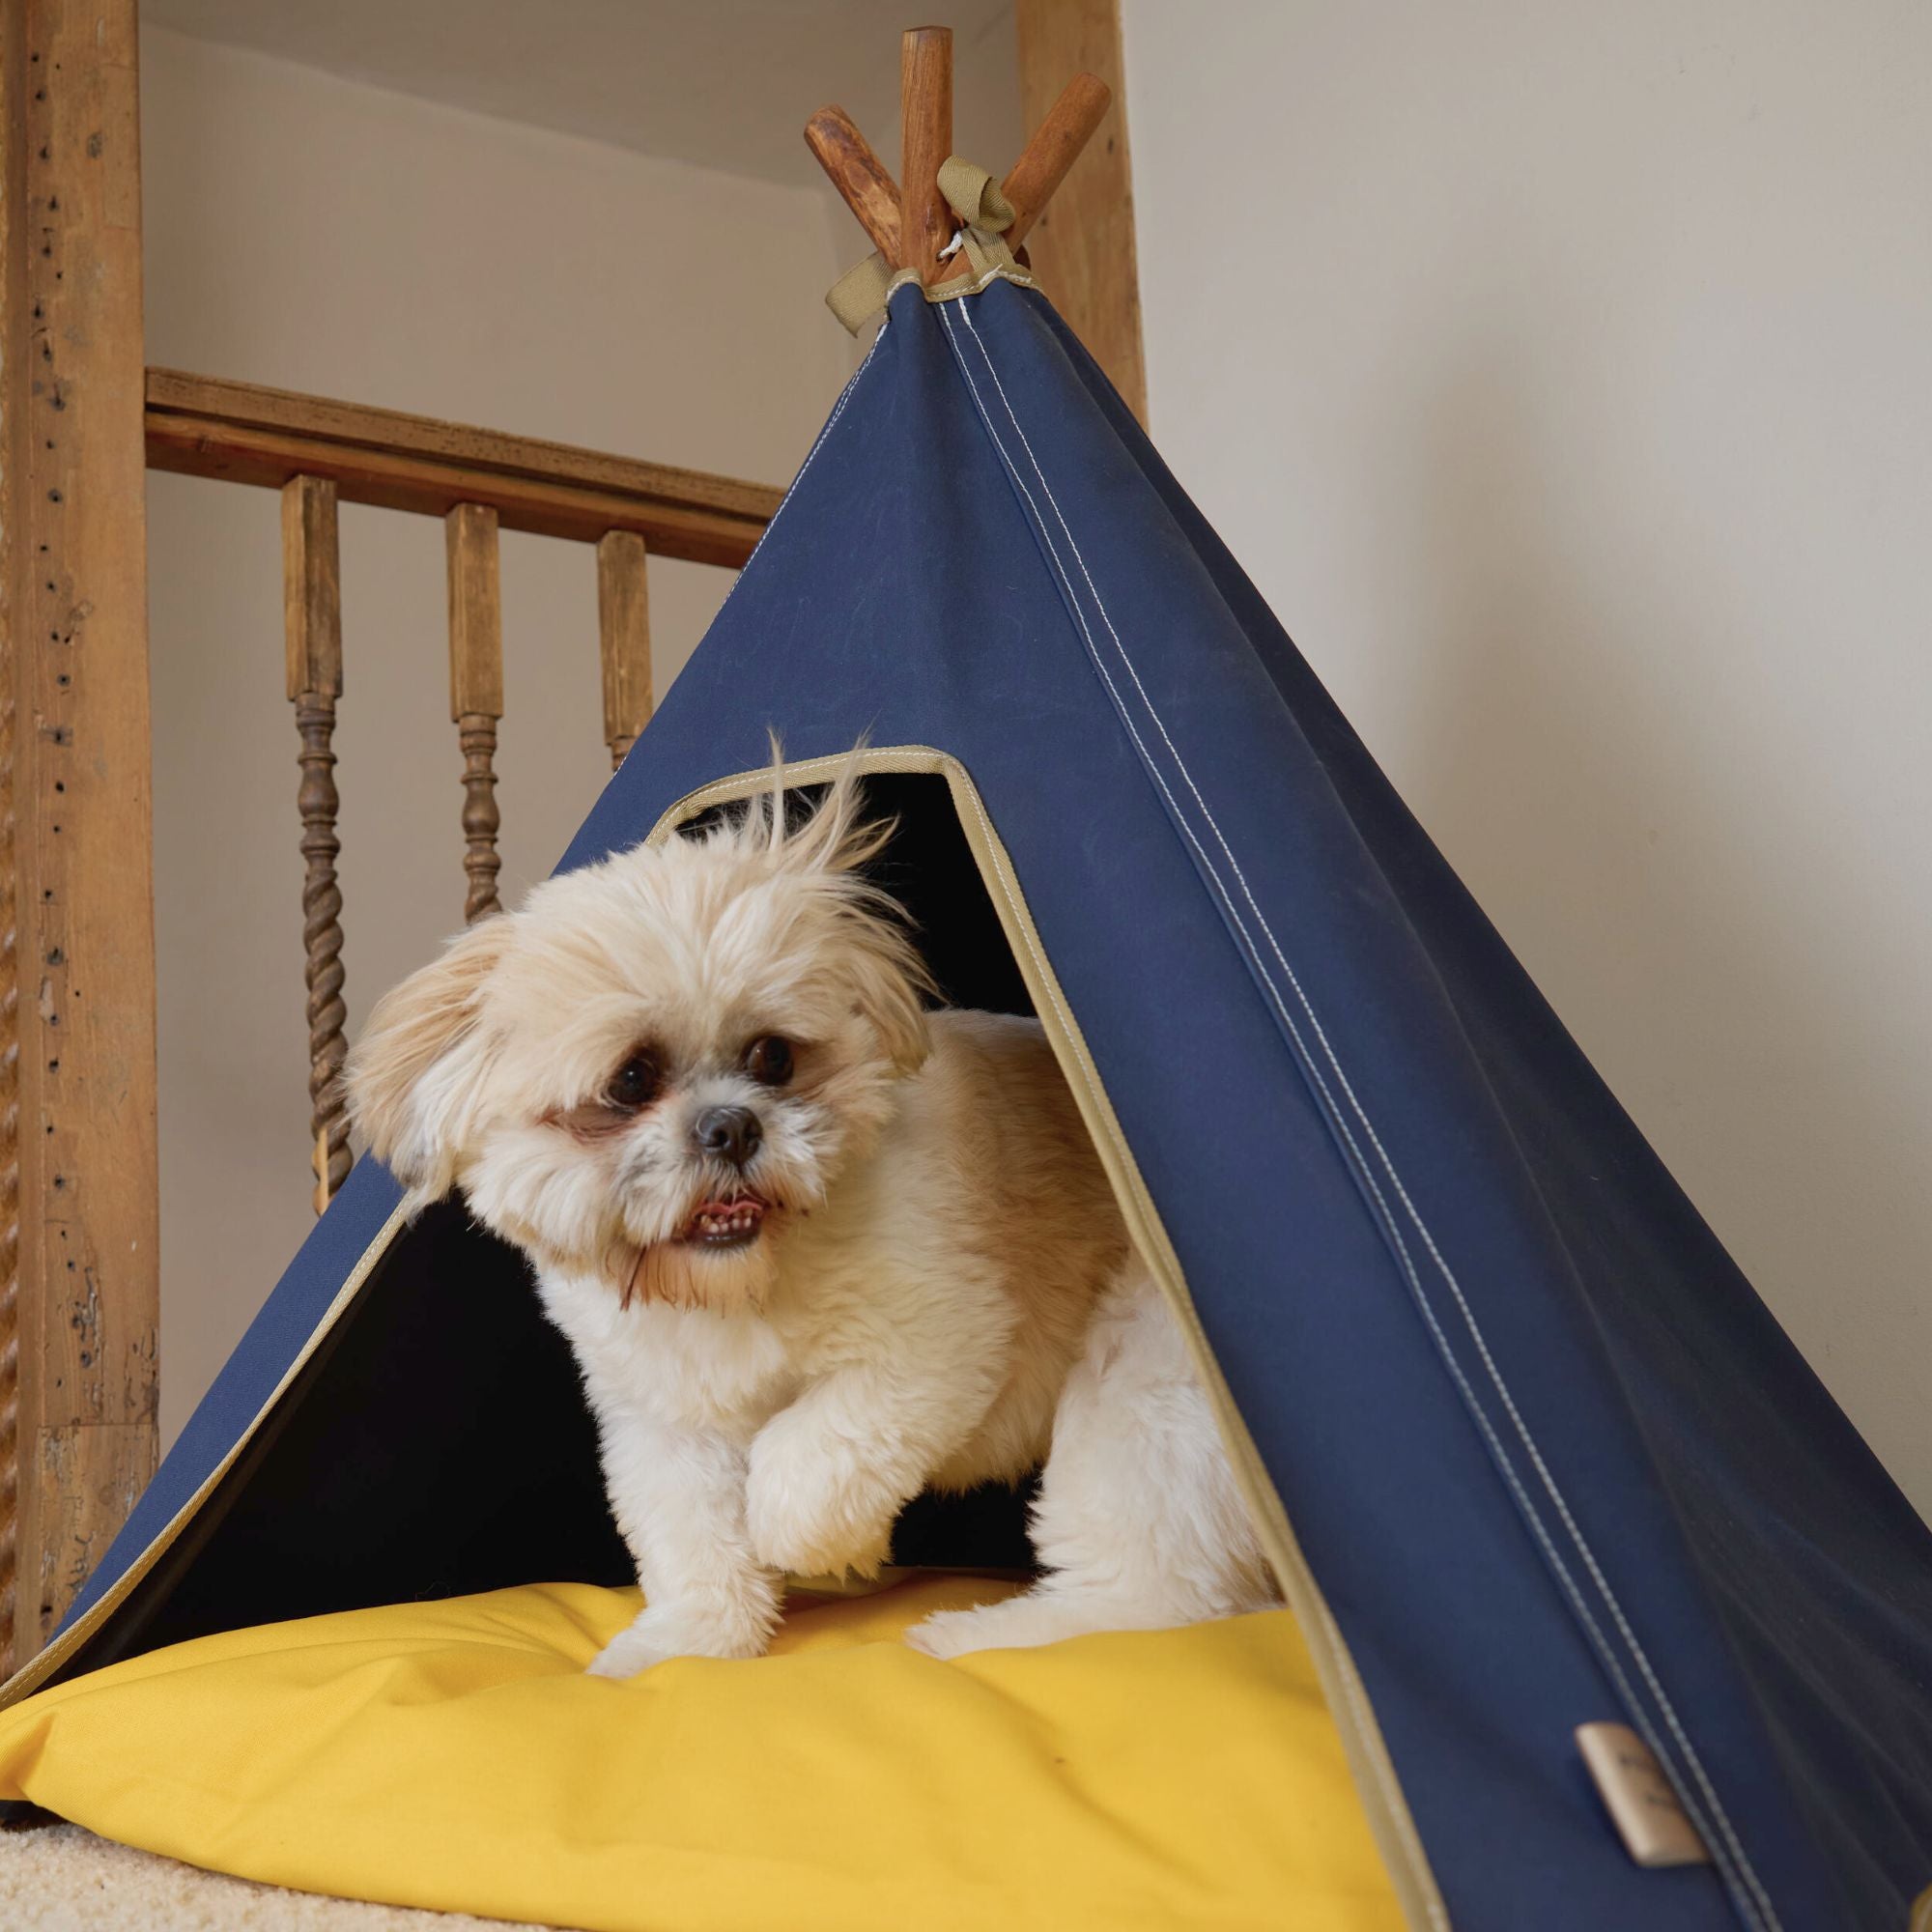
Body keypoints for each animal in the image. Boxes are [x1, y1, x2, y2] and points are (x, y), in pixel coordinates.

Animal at [350, 761, 1275, 1669]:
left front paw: (826, 1548)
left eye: (773, 1057)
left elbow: (804, 1464)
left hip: (1141, 1389)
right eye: (631, 1080)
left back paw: (973, 1638)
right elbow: (692, 1541)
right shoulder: (663, 1421)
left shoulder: (931, 1347)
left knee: (1153, 1597)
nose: (731, 1125)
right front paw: (683, 1647)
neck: (736, 1287)